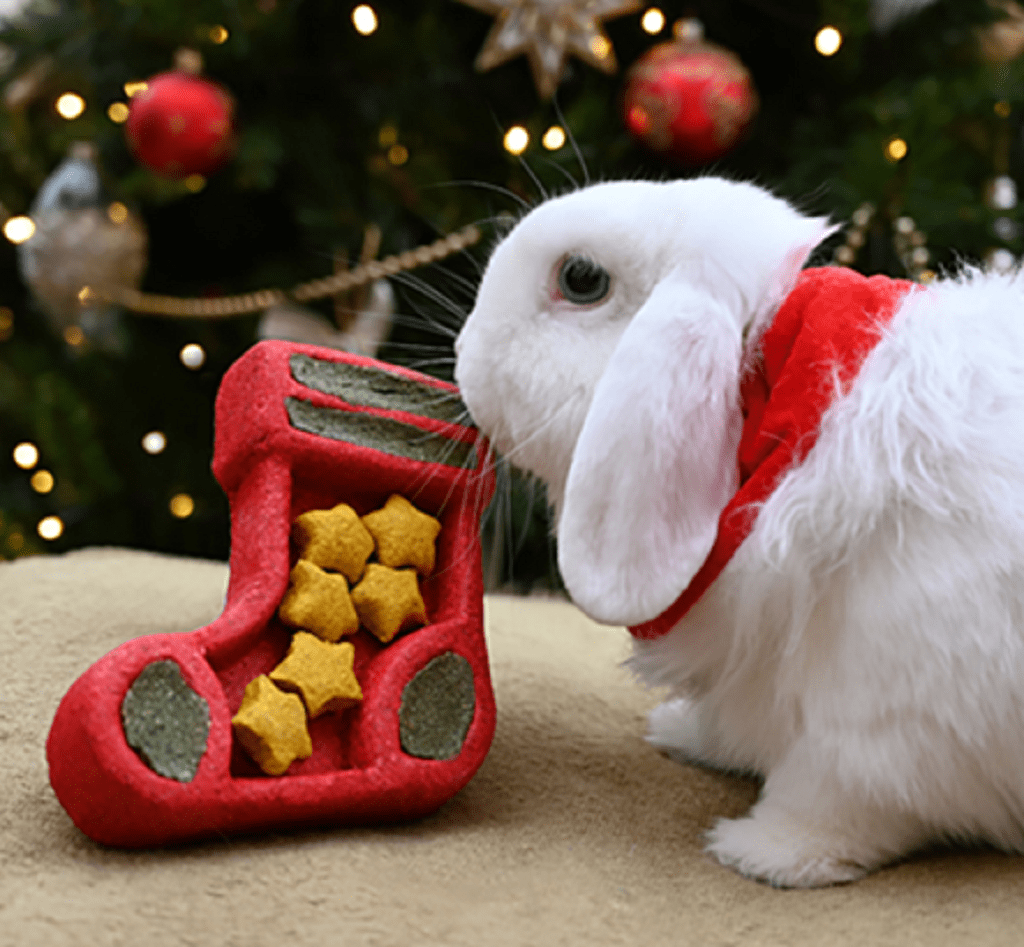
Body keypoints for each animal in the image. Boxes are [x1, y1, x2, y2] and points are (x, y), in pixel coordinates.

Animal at [452, 175, 1024, 888]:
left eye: (581, 279)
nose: (463, 353)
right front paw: (682, 732)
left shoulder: (892, 713)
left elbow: (840, 795)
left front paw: (766, 853)